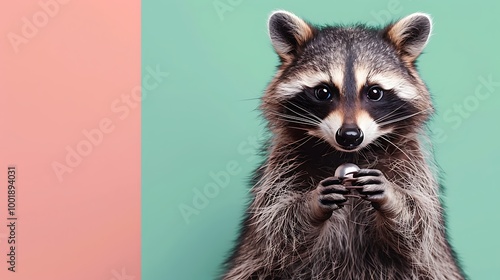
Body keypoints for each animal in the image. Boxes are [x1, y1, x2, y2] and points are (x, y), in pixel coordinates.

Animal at [223, 9, 464, 278]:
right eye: (323, 92)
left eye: (374, 92)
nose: (349, 135)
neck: (348, 154)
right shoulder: (283, 165)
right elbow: (276, 229)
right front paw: (311, 205)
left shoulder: (411, 164)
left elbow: (419, 229)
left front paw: (393, 199)